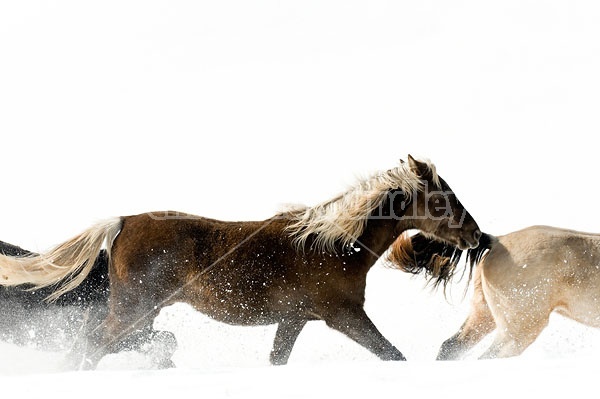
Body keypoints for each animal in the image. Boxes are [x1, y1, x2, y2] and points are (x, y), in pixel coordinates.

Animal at [0, 156, 480, 368]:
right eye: (442, 200)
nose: (476, 235)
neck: (331, 247)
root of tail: (122, 222)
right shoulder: (343, 315)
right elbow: (392, 354)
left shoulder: (293, 320)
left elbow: (277, 359)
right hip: (133, 310)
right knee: (92, 345)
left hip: (142, 313)